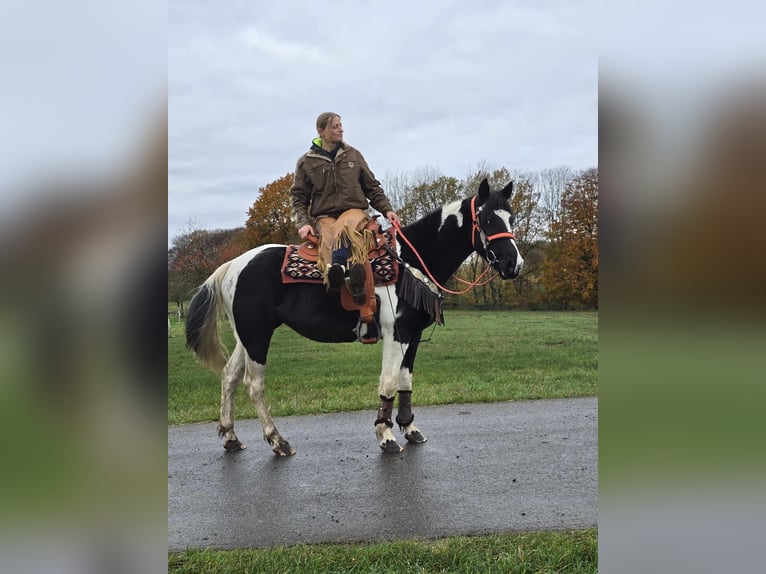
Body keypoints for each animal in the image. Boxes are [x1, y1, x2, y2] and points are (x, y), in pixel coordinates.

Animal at [186, 178, 524, 456]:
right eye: (487, 219)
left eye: (511, 218)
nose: (514, 265)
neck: (408, 262)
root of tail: (233, 265)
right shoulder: (395, 334)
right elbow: (388, 382)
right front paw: (386, 435)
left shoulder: (412, 335)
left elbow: (405, 381)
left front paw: (409, 428)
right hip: (257, 336)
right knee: (254, 384)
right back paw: (278, 441)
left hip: (245, 336)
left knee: (229, 376)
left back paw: (231, 437)